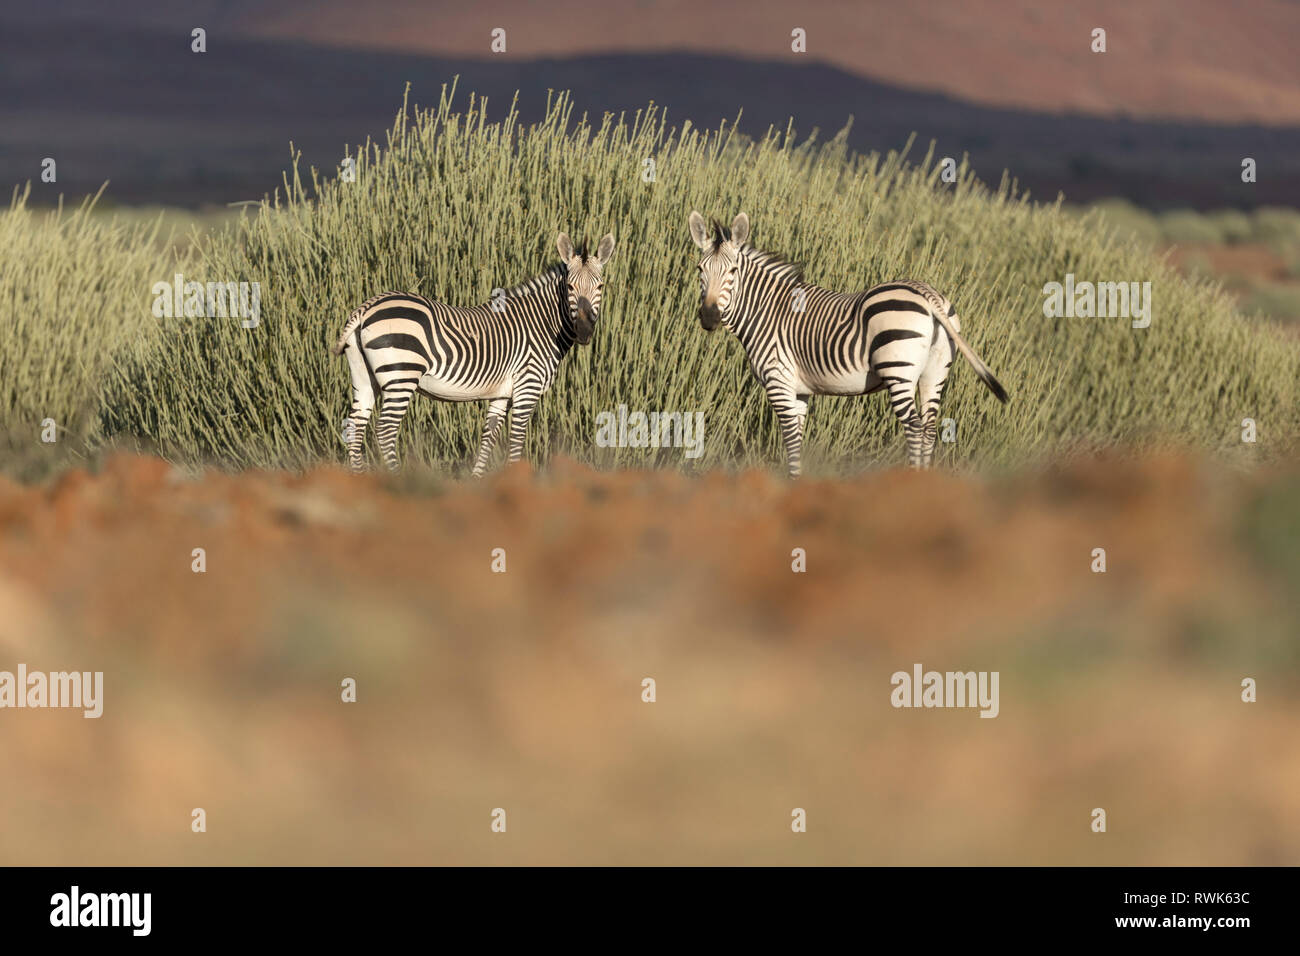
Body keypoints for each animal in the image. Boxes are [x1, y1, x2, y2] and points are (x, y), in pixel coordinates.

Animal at [332, 232, 615, 476]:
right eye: (569, 287)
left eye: (600, 286)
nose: (584, 332)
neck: (541, 324)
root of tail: (365, 307)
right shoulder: (527, 387)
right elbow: (516, 440)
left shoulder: (502, 394)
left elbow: (488, 437)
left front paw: (478, 480)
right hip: (401, 375)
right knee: (385, 430)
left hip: (364, 377)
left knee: (355, 426)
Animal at [688, 211, 1007, 476]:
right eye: (700, 269)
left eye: (732, 272)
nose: (709, 316)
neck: (767, 310)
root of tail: (926, 293)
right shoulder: (800, 391)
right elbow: (798, 441)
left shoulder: (779, 383)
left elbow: (790, 443)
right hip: (935, 372)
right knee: (929, 430)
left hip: (898, 370)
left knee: (915, 430)